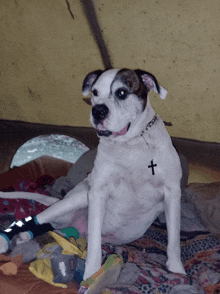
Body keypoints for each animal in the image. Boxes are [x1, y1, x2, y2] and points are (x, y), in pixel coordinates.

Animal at [0, 68, 186, 280]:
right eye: (95, 92)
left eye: (122, 92)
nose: (98, 111)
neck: (131, 144)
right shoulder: (97, 193)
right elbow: (95, 245)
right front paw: (91, 275)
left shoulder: (172, 193)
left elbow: (173, 239)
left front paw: (177, 270)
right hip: (77, 198)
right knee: (34, 218)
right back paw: (8, 238)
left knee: (51, 226)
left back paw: (26, 237)